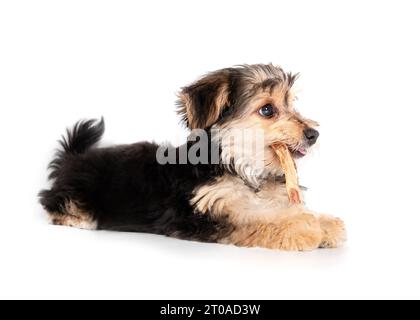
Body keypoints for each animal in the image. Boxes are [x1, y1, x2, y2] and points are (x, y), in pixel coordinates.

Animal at [39, 63, 346, 251]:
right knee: (53, 202)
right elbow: (256, 218)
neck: (237, 164)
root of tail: (74, 157)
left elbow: (278, 208)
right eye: (268, 110)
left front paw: (324, 222)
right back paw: (78, 218)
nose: (313, 134)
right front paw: (303, 227)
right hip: (77, 190)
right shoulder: (211, 210)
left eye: (291, 105)